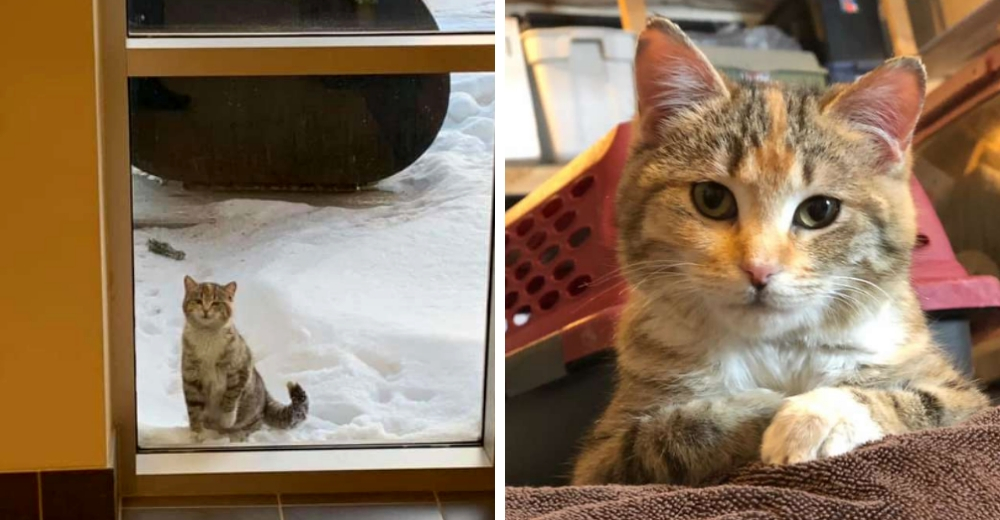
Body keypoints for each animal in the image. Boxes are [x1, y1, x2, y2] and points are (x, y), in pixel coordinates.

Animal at [576, 17, 988, 488]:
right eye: (711, 199)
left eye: (820, 210)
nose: (759, 268)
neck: (775, 345)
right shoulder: (599, 458)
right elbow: (659, 435)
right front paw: (763, 408)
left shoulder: (957, 394)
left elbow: (914, 400)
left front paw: (816, 416)